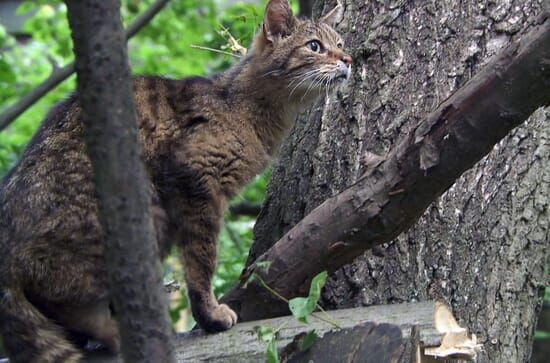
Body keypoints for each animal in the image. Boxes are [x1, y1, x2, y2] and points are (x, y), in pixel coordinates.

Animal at [0, 0, 354, 362]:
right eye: (314, 46)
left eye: (340, 43)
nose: (348, 59)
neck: (246, 106)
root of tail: (6, 261)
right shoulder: (196, 179)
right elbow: (201, 261)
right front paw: (210, 314)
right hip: (141, 221)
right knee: (67, 302)